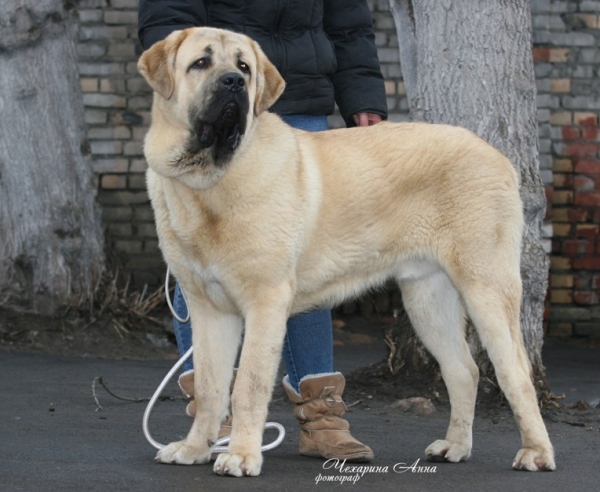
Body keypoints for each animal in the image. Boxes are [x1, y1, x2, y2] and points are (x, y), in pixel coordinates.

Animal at [138, 26, 556, 476]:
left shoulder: (265, 302)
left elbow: (247, 384)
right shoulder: (208, 309)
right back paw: (455, 446)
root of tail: (498, 156)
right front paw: (196, 448)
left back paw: (536, 452)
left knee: (515, 371)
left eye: (244, 67)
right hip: (428, 298)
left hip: (486, 288)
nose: (233, 82)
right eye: (201, 63)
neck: (208, 179)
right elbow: (210, 386)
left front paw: (241, 455)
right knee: (463, 370)